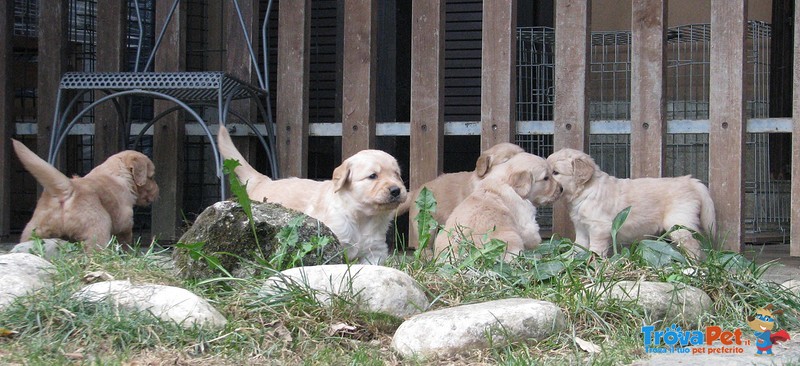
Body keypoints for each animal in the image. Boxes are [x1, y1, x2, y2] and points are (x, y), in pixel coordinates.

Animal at [12, 138, 159, 252]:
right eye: (151, 177)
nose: (158, 191)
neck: (117, 173)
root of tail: (69, 189)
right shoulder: (125, 221)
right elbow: (125, 240)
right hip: (99, 227)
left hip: (34, 228)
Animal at [216, 126, 406, 264]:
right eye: (373, 176)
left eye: (397, 174)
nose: (396, 190)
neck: (363, 218)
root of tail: (263, 180)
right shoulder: (335, 241)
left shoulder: (374, 253)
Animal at [548, 147, 716, 258]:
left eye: (555, 172)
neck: (586, 191)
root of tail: (690, 181)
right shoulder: (581, 227)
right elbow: (579, 246)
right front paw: (567, 259)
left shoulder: (599, 227)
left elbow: (595, 248)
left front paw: (593, 263)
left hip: (678, 223)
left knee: (694, 246)